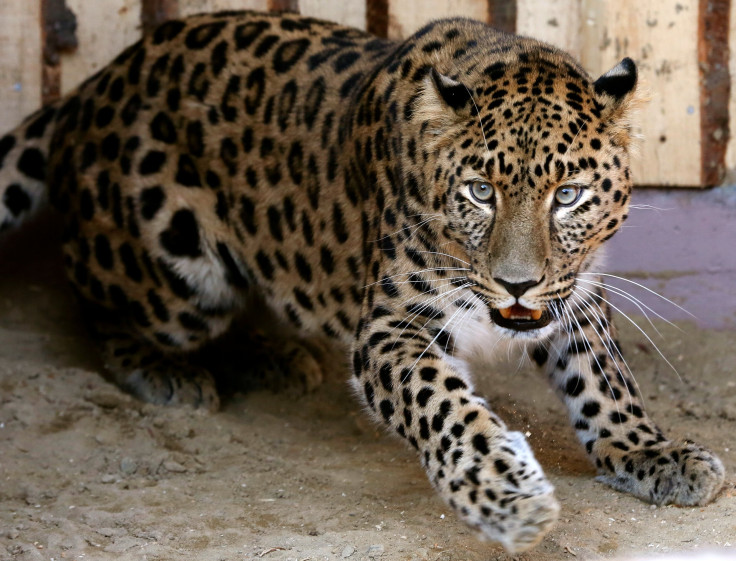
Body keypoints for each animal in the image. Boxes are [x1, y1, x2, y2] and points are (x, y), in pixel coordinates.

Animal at [0, 8, 724, 552]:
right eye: (480, 192)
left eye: (568, 195)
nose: (516, 284)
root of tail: (97, 79)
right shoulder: (391, 330)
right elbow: (451, 410)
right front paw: (509, 497)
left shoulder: (577, 293)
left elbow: (606, 382)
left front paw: (653, 453)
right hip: (173, 270)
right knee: (96, 297)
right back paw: (163, 370)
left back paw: (275, 358)